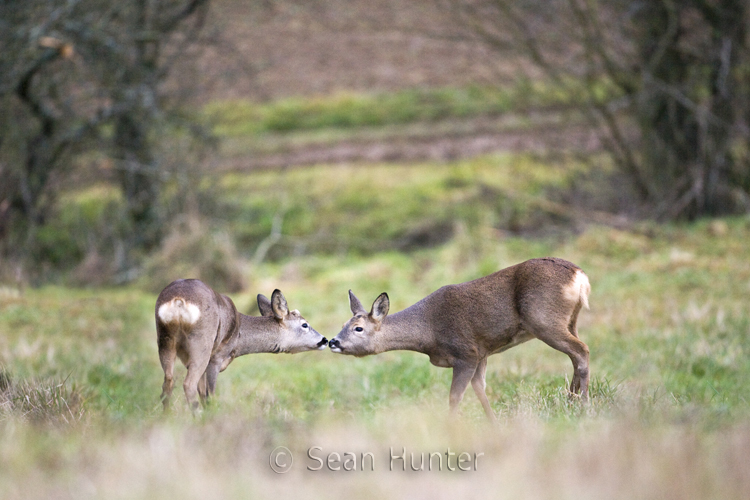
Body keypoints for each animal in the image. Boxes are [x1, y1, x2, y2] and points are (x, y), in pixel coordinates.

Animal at [156, 280, 326, 412]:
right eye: (304, 324)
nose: (325, 340)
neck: (238, 335)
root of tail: (178, 301)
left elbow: (202, 392)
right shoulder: (216, 358)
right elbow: (210, 394)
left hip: (165, 340)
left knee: (168, 383)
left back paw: (167, 418)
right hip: (202, 343)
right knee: (188, 384)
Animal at [328, 258, 592, 422]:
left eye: (358, 328)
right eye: (342, 325)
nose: (332, 342)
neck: (428, 331)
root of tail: (580, 276)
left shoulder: (466, 353)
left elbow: (455, 397)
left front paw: (450, 427)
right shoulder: (481, 352)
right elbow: (480, 389)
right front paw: (493, 423)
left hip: (544, 320)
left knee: (582, 351)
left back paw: (582, 407)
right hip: (570, 320)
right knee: (575, 355)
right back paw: (570, 401)